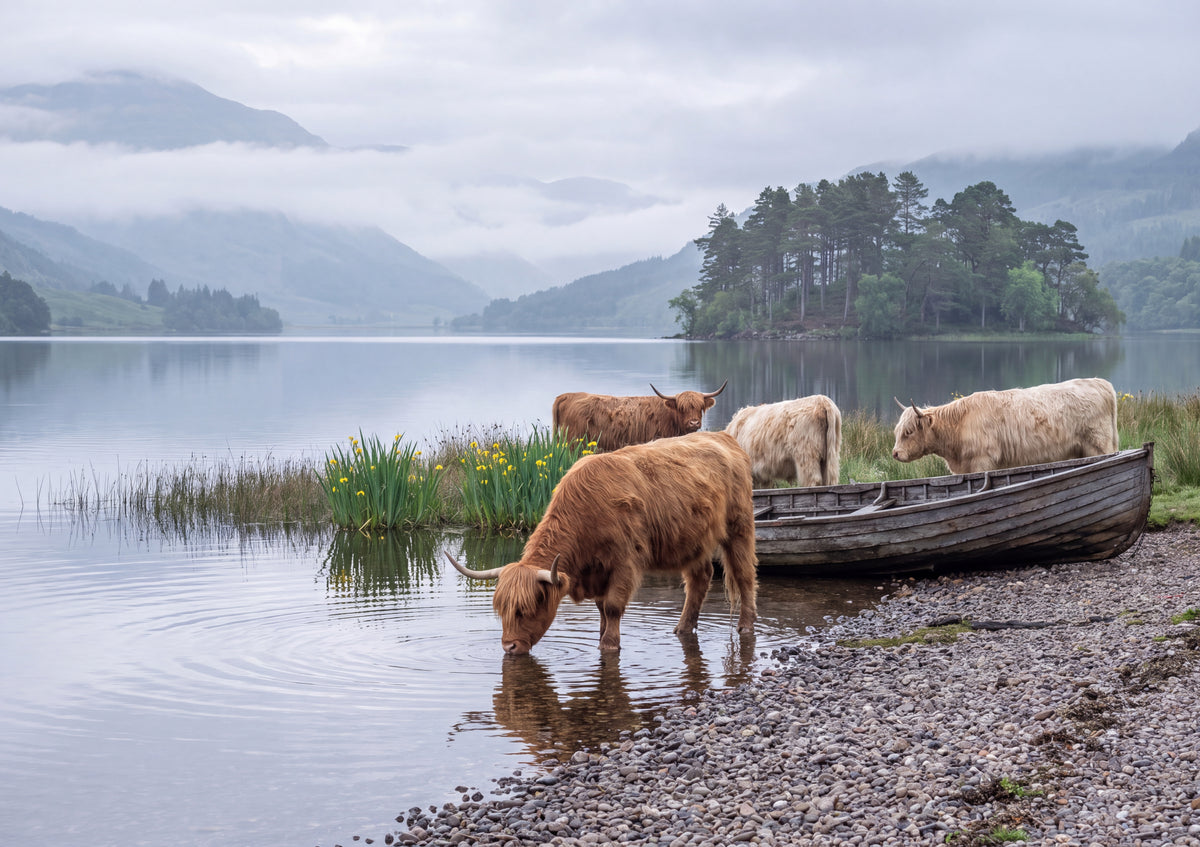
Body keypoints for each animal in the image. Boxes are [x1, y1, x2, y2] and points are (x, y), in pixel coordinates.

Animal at [447, 430, 758, 654]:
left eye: (526, 609)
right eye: (502, 610)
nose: (509, 647)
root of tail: (724, 436)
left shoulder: (624, 563)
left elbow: (612, 606)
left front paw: (609, 645)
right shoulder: (596, 571)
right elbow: (600, 609)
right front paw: (600, 636)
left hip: (739, 526)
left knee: (744, 574)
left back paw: (745, 626)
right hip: (693, 540)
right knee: (699, 578)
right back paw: (682, 629)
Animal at [891, 377, 1120, 474]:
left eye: (909, 432)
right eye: (896, 431)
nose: (895, 453)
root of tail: (1099, 382)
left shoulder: (982, 462)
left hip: (1099, 445)